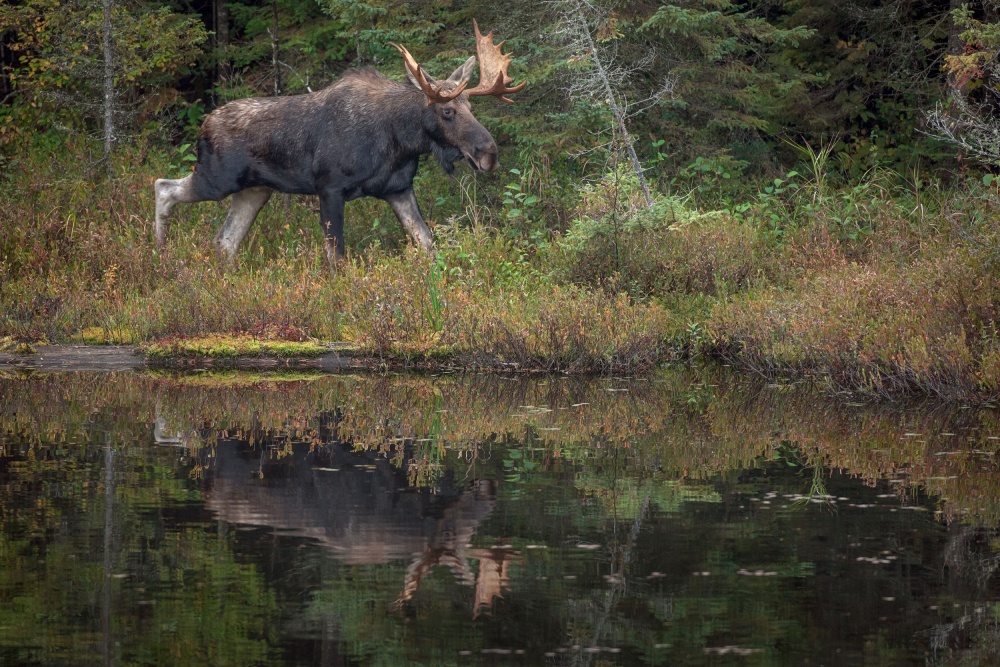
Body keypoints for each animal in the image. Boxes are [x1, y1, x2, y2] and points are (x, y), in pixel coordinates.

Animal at [154, 21, 524, 260]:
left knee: (225, 241)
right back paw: (160, 253)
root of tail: (205, 124)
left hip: (254, 191)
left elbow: (427, 242)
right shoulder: (329, 187)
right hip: (218, 179)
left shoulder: (398, 188)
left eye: (471, 107)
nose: (488, 153)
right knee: (163, 186)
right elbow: (337, 258)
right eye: (447, 111)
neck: (401, 141)